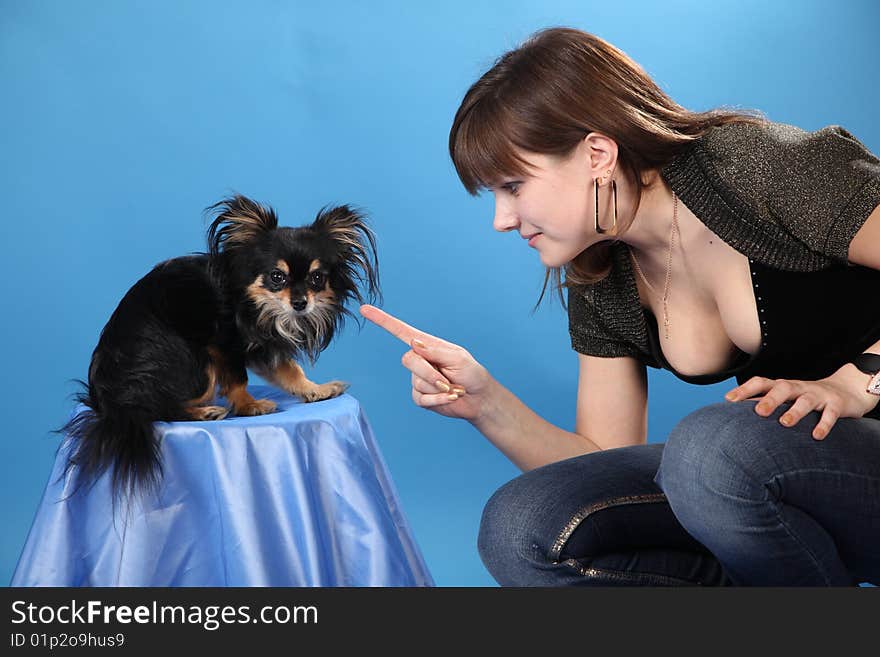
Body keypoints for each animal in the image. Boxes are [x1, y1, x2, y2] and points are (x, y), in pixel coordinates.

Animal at [62, 195, 378, 498]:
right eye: (277, 277)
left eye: (317, 278)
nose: (300, 303)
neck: (257, 305)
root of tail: (109, 402)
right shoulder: (224, 345)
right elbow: (239, 379)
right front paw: (249, 405)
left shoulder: (262, 346)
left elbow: (289, 370)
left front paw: (315, 389)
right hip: (195, 361)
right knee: (157, 409)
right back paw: (203, 412)